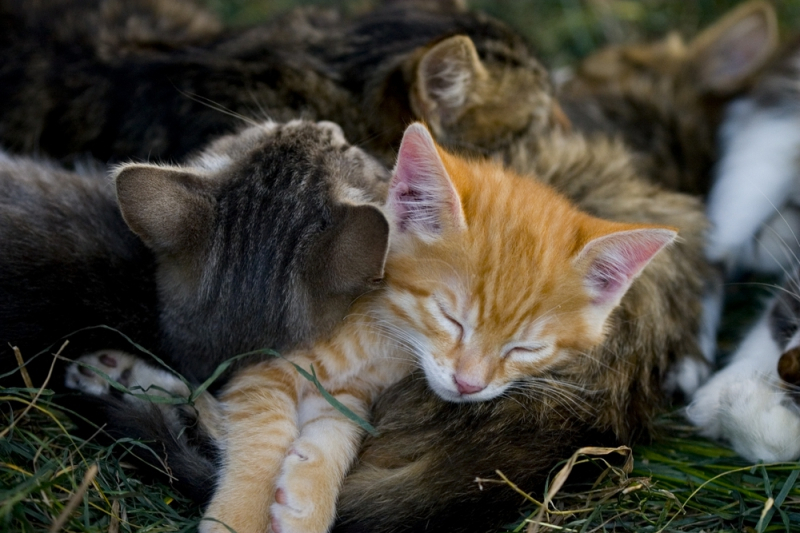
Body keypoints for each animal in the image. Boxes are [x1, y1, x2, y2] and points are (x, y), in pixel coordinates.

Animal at [67, 122, 680, 532]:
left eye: (527, 348)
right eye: (449, 317)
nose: (469, 385)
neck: (386, 337)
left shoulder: (355, 391)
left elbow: (336, 431)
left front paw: (306, 503)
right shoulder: (265, 364)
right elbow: (259, 432)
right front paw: (239, 515)